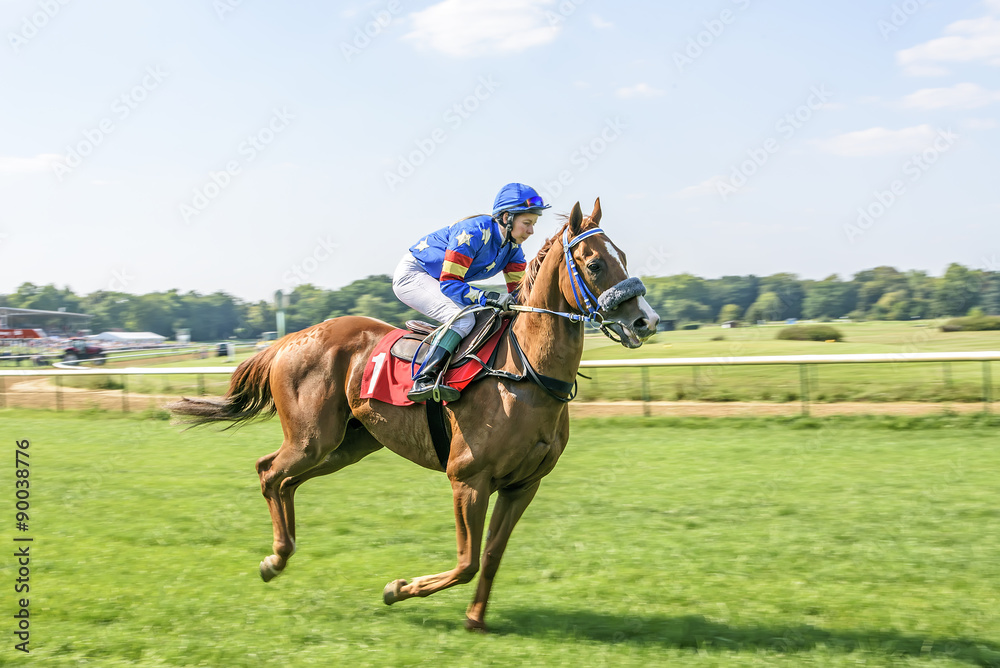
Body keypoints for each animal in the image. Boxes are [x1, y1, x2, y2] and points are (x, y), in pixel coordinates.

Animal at [168, 198, 660, 632]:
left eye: (623, 256)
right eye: (595, 265)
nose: (646, 321)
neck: (526, 375)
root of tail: (291, 339)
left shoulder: (523, 485)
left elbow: (490, 557)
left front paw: (476, 620)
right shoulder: (468, 478)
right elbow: (466, 562)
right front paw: (398, 588)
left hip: (348, 445)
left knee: (285, 480)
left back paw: (283, 553)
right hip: (311, 439)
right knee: (268, 471)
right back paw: (274, 559)